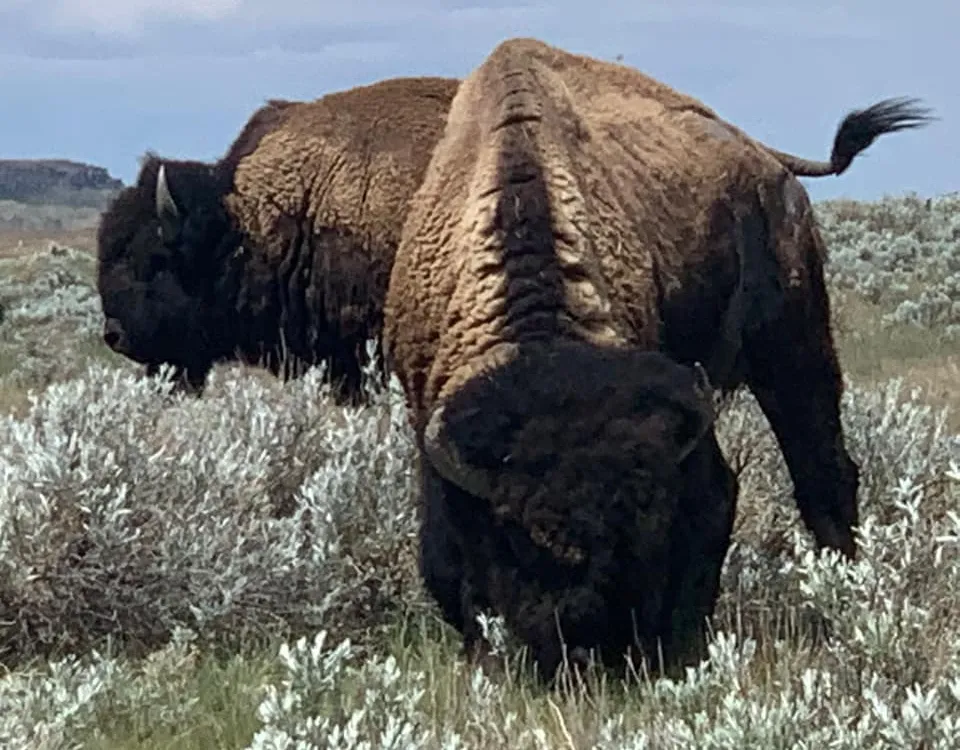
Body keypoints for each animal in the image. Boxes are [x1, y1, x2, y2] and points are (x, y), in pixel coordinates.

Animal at [380, 39, 928, 688]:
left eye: (647, 524)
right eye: (523, 535)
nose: (593, 643)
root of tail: (763, 158)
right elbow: (442, 554)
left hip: (792, 345)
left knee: (819, 470)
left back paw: (841, 588)